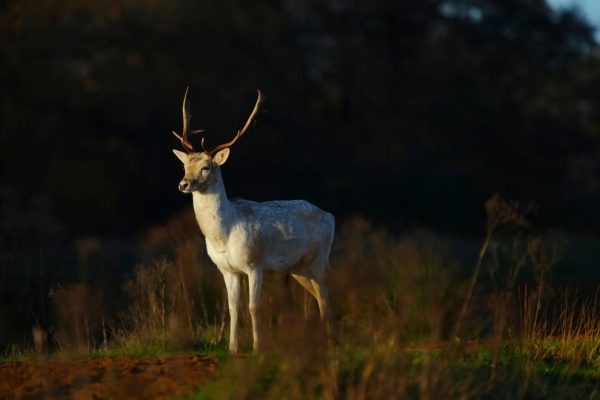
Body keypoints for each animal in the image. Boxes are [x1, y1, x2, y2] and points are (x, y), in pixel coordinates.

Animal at [171, 86, 336, 354]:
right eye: (184, 165)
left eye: (206, 167)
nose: (183, 184)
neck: (223, 236)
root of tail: (330, 215)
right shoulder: (227, 270)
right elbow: (233, 308)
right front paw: (233, 349)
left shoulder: (255, 264)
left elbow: (253, 307)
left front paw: (258, 348)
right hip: (298, 267)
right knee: (317, 293)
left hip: (319, 257)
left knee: (324, 294)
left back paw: (330, 342)